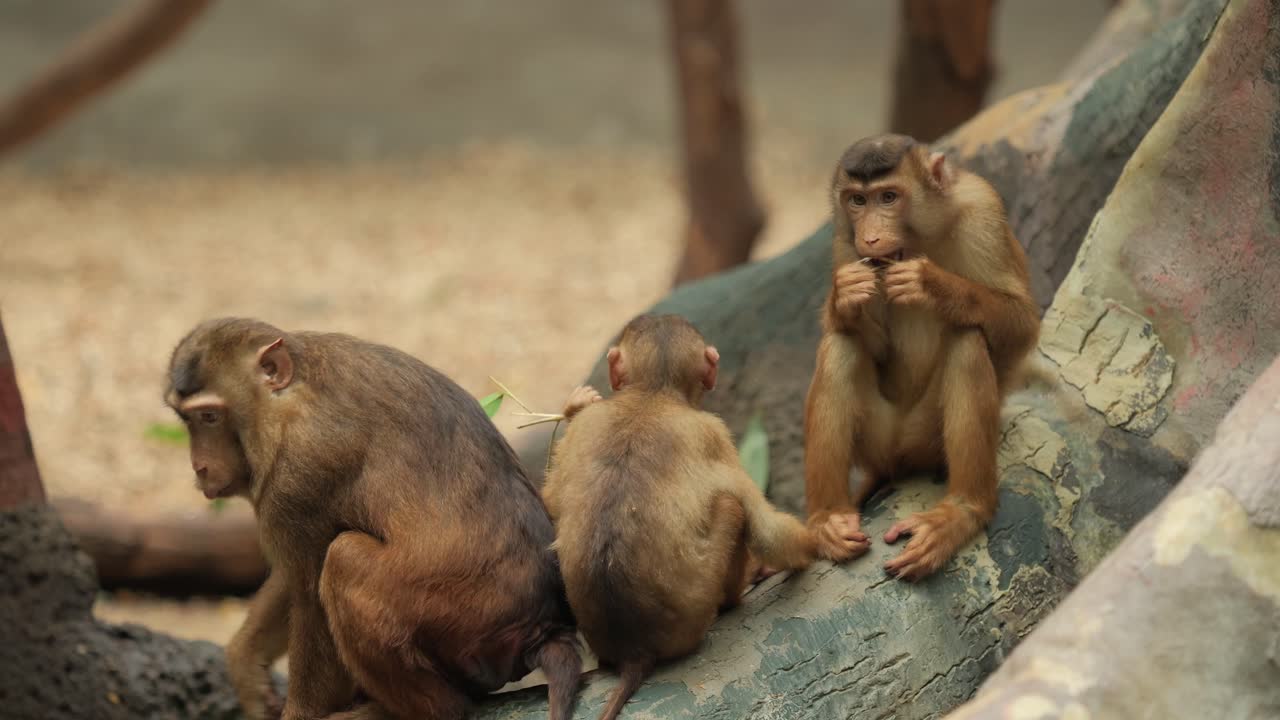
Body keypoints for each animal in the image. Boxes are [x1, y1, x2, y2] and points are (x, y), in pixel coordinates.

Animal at [163, 318, 581, 720]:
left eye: (209, 417)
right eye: (185, 419)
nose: (200, 467)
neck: (289, 400)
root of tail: (540, 628)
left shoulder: (297, 477)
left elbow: (310, 597)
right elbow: (292, 582)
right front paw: (247, 663)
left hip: (462, 620)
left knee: (343, 558)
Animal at [542, 314, 866, 720]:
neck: (651, 395)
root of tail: (634, 650)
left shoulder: (592, 422)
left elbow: (548, 502)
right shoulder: (714, 431)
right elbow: (766, 530)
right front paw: (821, 541)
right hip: (694, 613)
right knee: (732, 507)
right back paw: (737, 594)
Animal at [804, 134, 1040, 582]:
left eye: (889, 197)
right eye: (857, 200)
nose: (870, 237)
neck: (920, 239)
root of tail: (897, 459)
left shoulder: (982, 210)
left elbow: (1022, 323)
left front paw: (934, 285)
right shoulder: (844, 242)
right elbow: (864, 337)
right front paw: (844, 299)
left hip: (925, 437)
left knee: (968, 340)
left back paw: (963, 511)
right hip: (878, 440)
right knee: (841, 348)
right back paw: (827, 518)